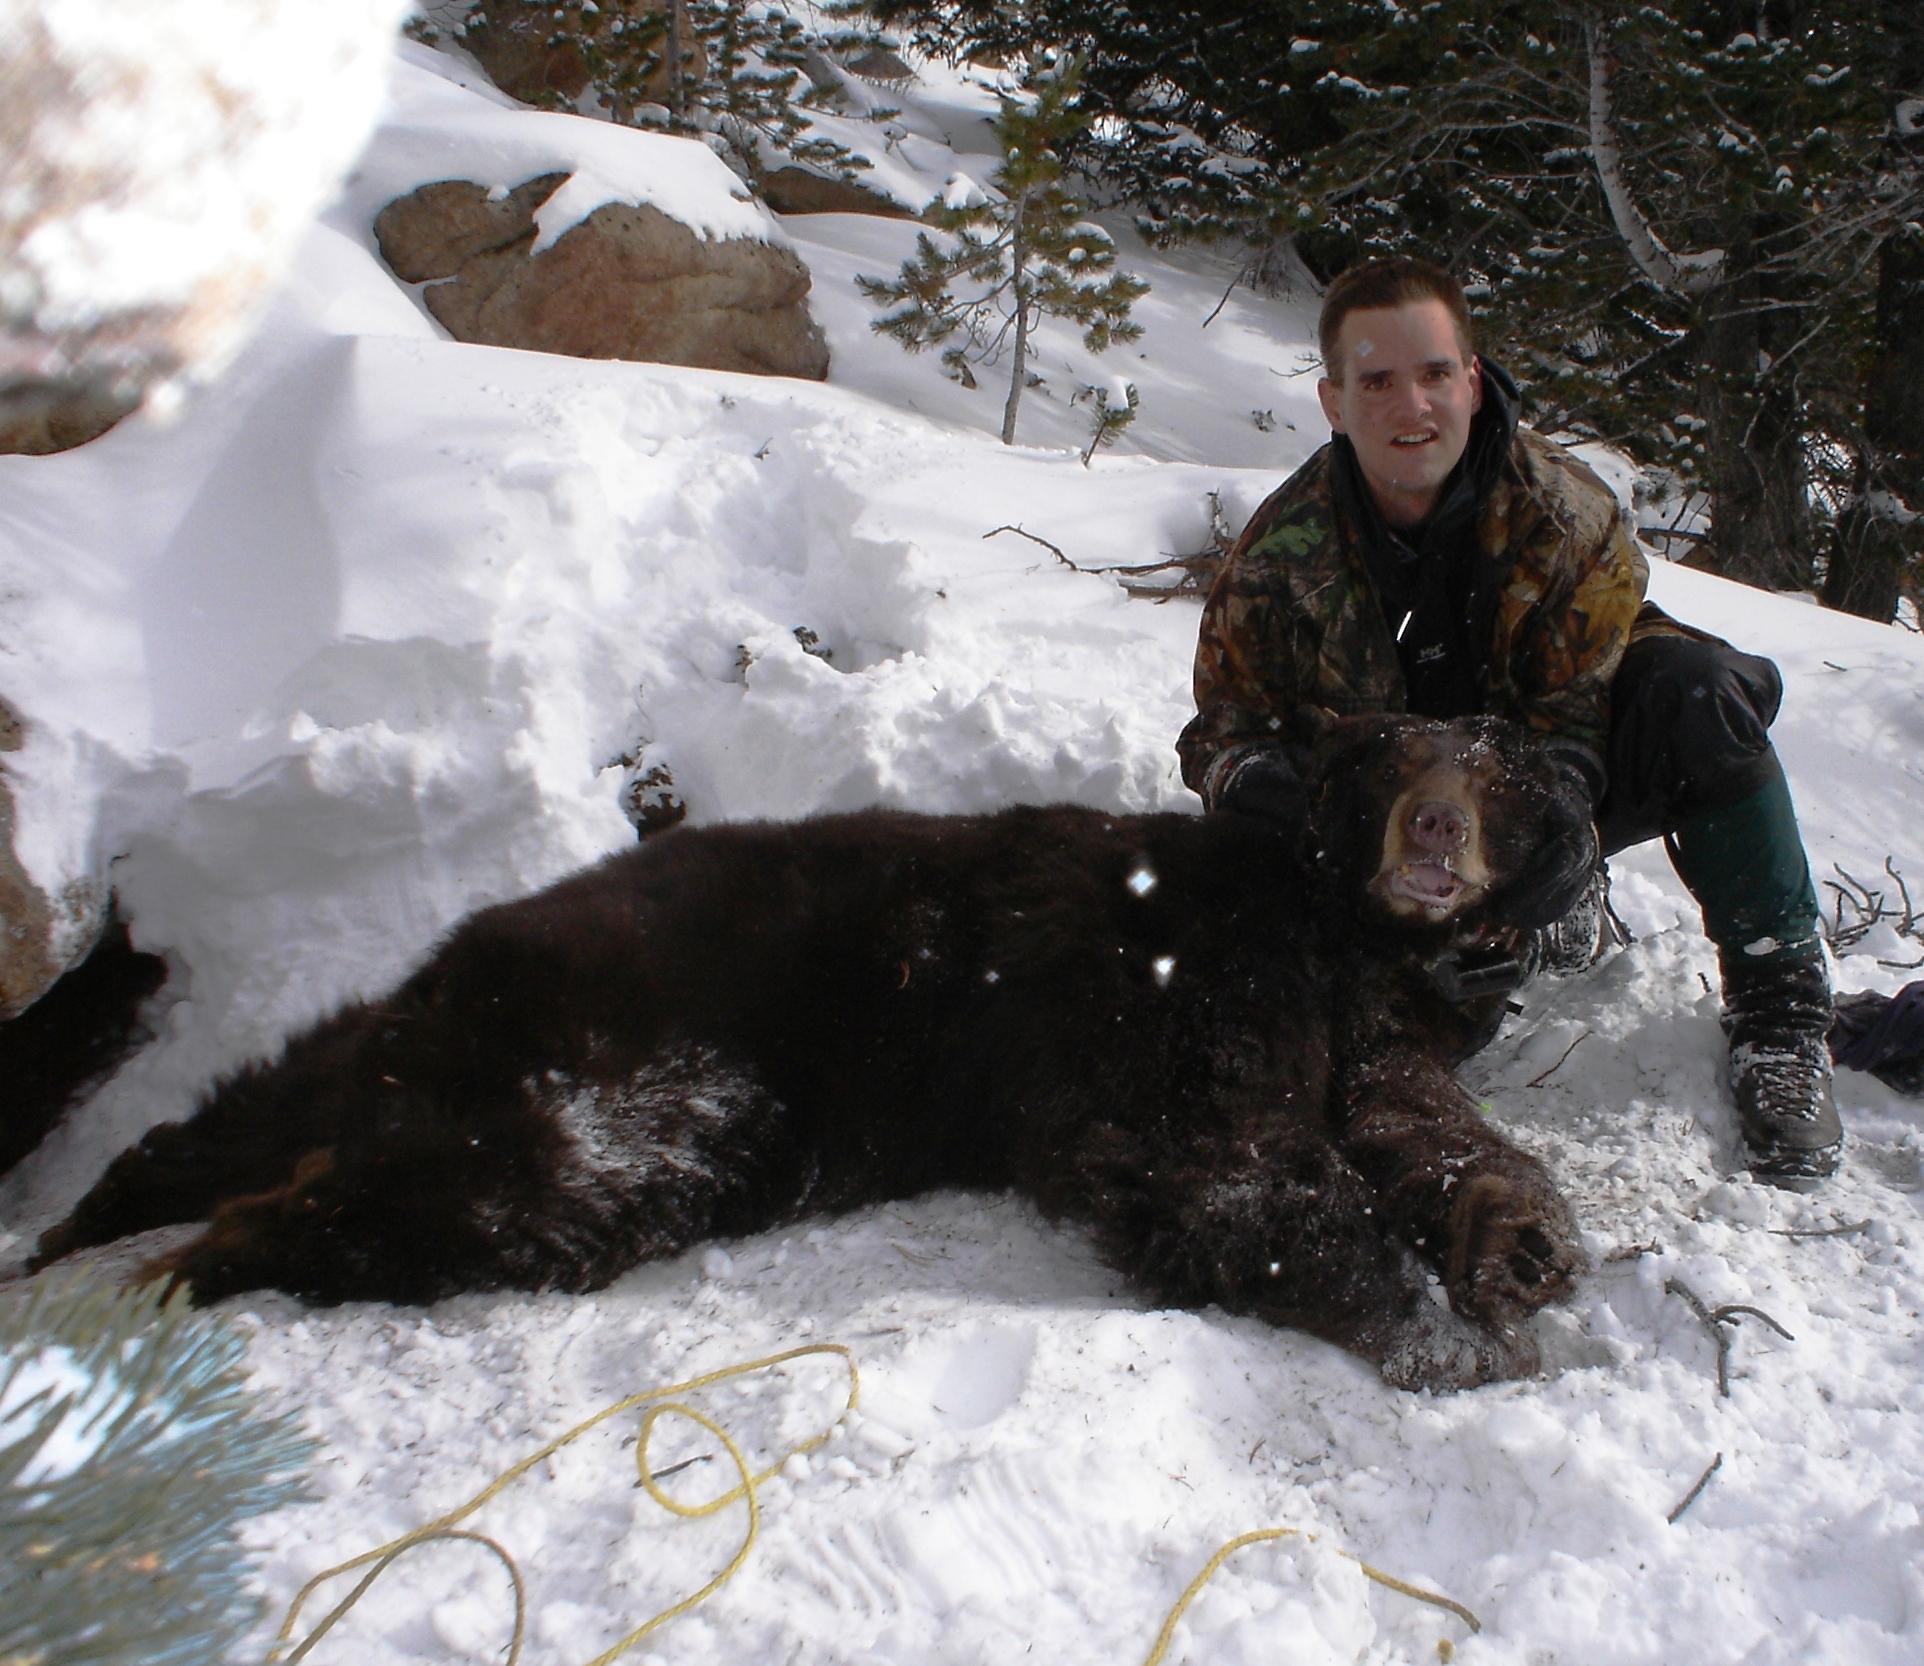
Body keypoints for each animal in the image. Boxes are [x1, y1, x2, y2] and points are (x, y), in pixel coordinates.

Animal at [30, 715, 1585, 1392]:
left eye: (1501, 774)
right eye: (1397, 759)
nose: (1435, 828)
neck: (1332, 923)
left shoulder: (1372, 1023)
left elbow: (1410, 1114)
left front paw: (1515, 1238)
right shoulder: (1197, 1010)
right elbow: (1237, 1168)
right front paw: (1446, 1329)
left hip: (422, 1034)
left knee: (244, 1112)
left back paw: (78, 1227)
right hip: (645, 1072)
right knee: (434, 1187)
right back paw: (145, 1286)